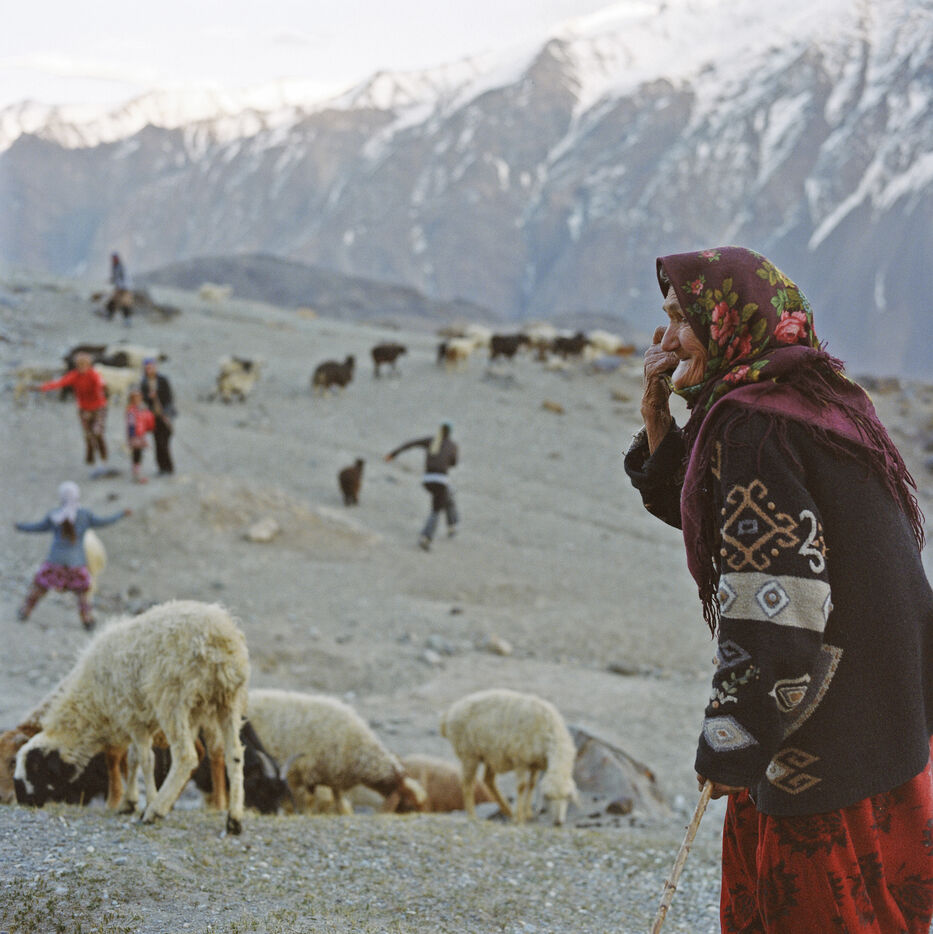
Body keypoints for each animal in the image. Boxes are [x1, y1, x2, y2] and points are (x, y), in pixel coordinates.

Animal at [14, 600, 250, 834]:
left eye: (34, 768)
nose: (23, 801)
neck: (91, 704)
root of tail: (219, 635)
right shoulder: (138, 720)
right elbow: (134, 758)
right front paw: (129, 803)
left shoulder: (132, 717)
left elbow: (146, 761)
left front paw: (147, 802)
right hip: (228, 700)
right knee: (234, 755)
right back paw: (234, 819)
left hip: (173, 699)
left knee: (186, 756)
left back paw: (155, 811)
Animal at [245, 689, 427, 816]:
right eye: (409, 805)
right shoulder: (307, 772)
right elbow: (310, 800)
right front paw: (308, 814)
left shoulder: (334, 777)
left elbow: (338, 800)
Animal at [440, 688, 578, 825]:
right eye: (548, 797)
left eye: (568, 797)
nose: (558, 822)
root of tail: (449, 714)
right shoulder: (520, 760)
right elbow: (522, 786)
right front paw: (520, 818)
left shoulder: (534, 763)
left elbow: (532, 784)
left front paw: (528, 814)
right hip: (469, 753)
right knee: (467, 783)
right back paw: (472, 815)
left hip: (491, 754)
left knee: (488, 780)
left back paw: (508, 811)